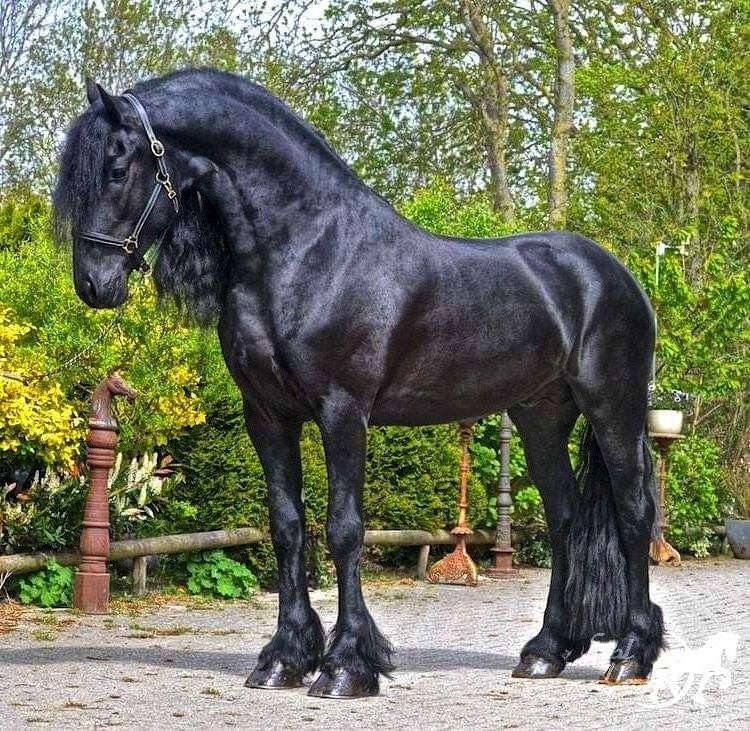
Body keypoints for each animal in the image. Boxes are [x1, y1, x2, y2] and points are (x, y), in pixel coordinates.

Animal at [53, 68, 664, 699]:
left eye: (117, 168)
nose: (93, 284)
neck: (307, 252)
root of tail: (615, 275)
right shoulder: (267, 414)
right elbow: (287, 527)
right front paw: (283, 658)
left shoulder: (343, 411)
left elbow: (344, 529)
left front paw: (347, 664)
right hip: (540, 416)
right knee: (565, 518)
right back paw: (546, 651)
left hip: (613, 408)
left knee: (635, 513)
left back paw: (631, 654)